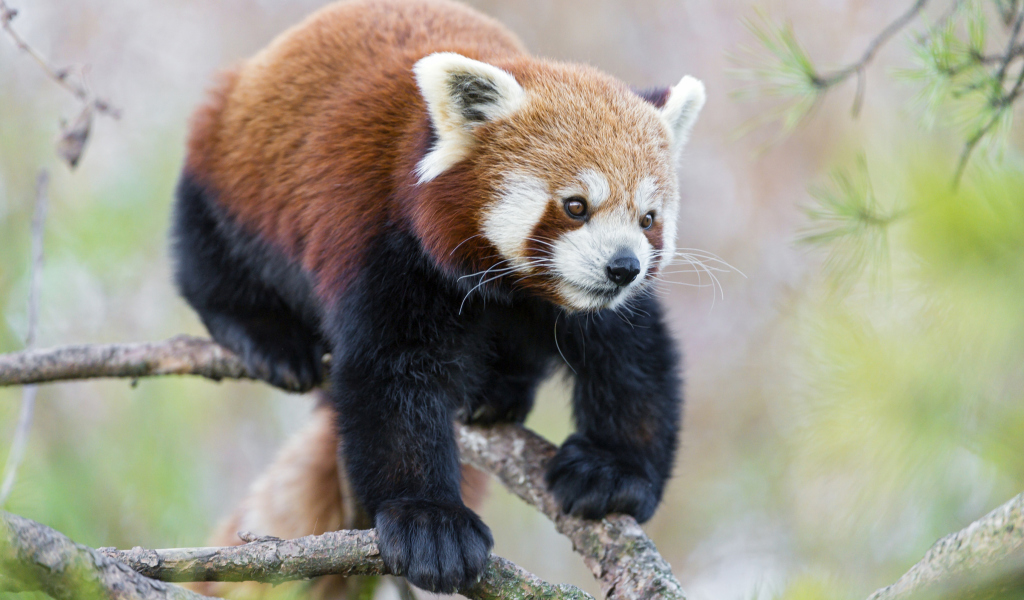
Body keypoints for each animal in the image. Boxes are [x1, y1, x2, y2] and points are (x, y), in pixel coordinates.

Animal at [174, 0, 704, 589]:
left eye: (648, 219)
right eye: (575, 206)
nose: (623, 268)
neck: (512, 284)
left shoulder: (586, 302)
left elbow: (633, 356)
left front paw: (613, 471)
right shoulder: (388, 242)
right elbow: (393, 377)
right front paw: (431, 522)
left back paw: (498, 390)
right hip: (228, 170)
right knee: (208, 255)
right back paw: (268, 338)